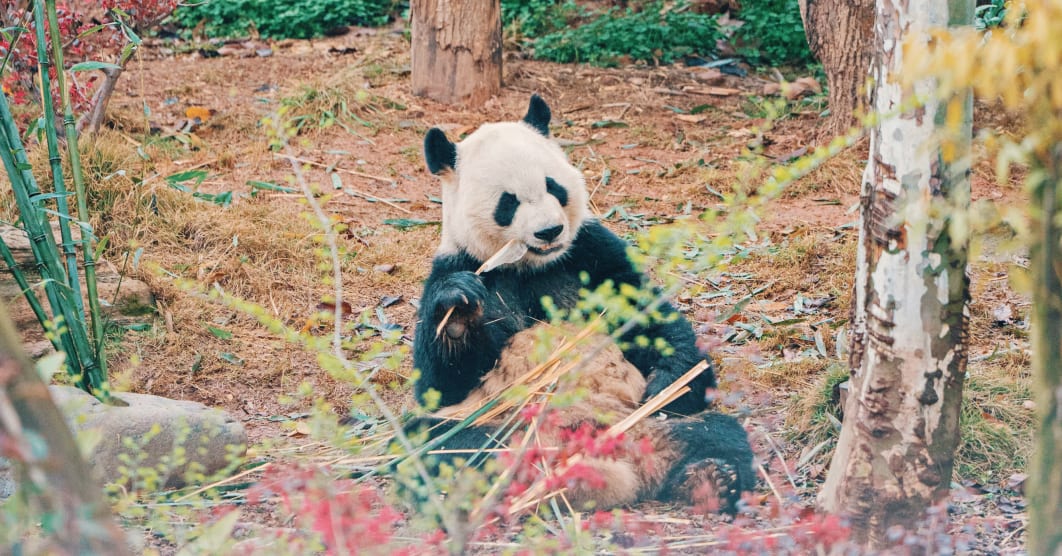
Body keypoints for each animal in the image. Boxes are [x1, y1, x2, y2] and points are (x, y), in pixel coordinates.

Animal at [407, 94, 755, 511]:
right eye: (508, 202)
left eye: (553, 186)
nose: (550, 230)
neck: (530, 266)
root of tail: (620, 470)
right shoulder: (461, 262)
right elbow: (442, 384)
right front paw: (458, 313)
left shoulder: (592, 253)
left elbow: (651, 320)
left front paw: (668, 383)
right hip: (491, 425)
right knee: (438, 446)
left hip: (646, 425)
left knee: (719, 433)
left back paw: (711, 480)